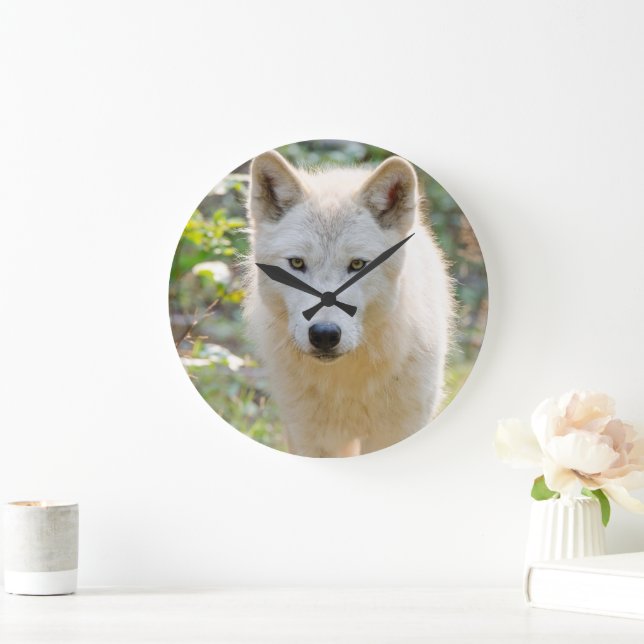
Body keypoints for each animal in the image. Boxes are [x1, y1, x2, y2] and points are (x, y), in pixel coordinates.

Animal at [243, 149, 453, 457]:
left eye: (357, 265)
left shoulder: (398, 431)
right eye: (297, 263)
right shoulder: (311, 438)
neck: (345, 382)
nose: (324, 335)